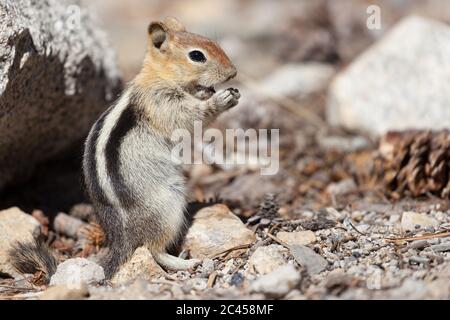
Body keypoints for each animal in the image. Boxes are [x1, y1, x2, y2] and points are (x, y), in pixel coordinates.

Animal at [9, 16, 239, 280]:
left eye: (213, 42)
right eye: (197, 56)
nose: (233, 72)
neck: (159, 76)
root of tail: (122, 239)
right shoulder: (162, 102)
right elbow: (190, 118)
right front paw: (221, 99)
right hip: (168, 206)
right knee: (152, 248)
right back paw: (184, 263)